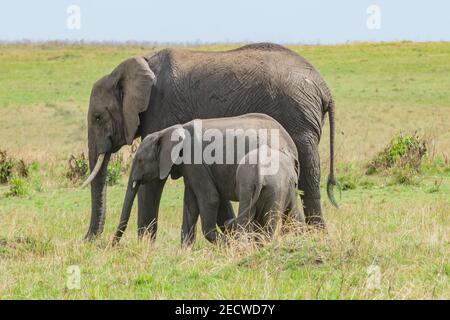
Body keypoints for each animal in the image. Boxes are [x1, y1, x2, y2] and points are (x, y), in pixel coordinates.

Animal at [112, 114, 304, 246]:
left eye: (139, 160)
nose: (112, 246)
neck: (169, 131)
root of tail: (291, 145)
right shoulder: (190, 168)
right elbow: (190, 203)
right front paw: (185, 253)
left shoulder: (196, 161)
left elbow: (210, 199)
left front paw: (226, 244)